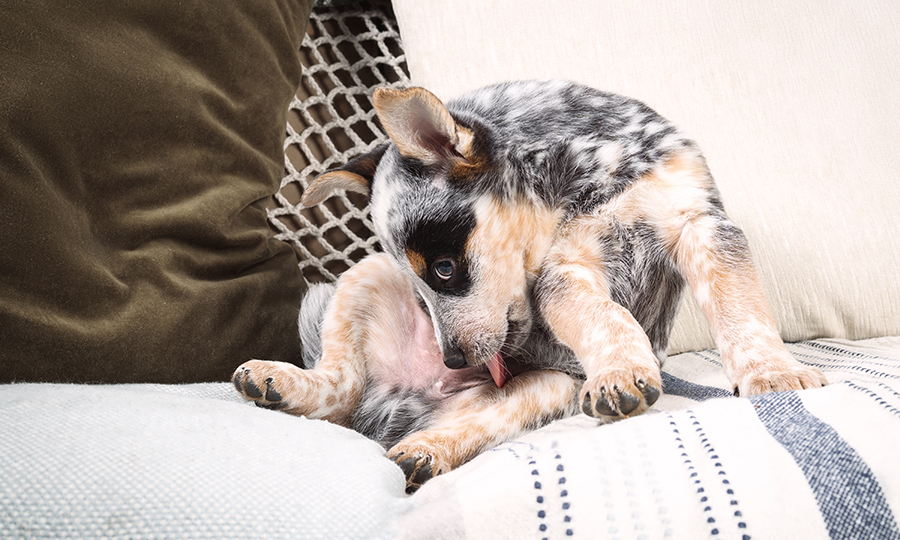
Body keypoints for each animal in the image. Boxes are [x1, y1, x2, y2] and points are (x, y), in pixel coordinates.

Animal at [234, 81, 828, 494]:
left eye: (443, 269)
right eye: (422, 285)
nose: (452, 361)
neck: (585, 173)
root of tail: (399, 407)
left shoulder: (700, 222)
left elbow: (739, 309)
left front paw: (772, 373)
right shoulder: (565, 271)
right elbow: (604, 317)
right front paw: (621, 372)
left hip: (548, 388)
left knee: (457, 421)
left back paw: (423, 450)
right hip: (365, 275)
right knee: (337, 390)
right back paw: (281, 381)